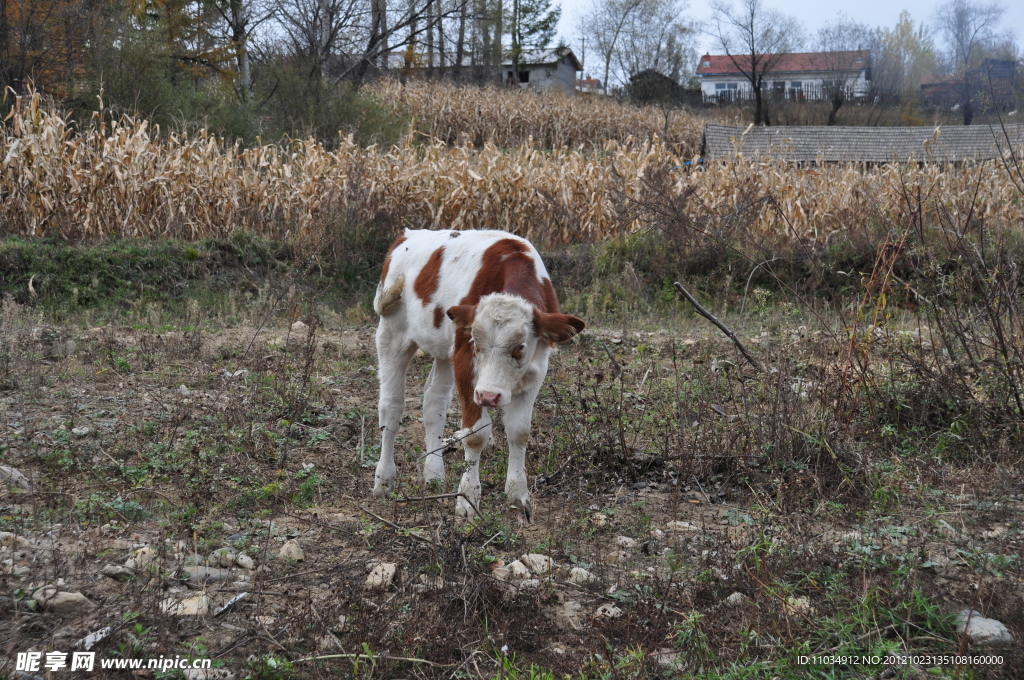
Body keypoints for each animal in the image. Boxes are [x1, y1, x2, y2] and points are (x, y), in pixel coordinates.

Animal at [374, 228, 585, 520]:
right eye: (475, 342)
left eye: (520, 346)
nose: (488, 396)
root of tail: (406, 236)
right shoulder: (465, 364)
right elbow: (475, 435)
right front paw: (467, 499)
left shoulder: (537, 368)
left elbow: (519, 431)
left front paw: (518, 493)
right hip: (392, 332)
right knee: (391, 406)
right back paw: (384, 479)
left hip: (444, 351)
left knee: (434, 403)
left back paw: (434, 475)